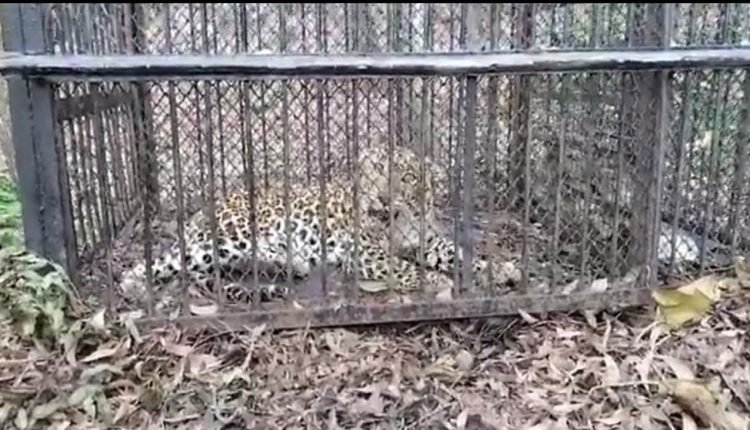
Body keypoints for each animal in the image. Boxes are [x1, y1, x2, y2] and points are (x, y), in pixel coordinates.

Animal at [119, 143, 509, 306]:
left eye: (408, 177)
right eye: (373, 172)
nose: (382, 198)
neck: (400, 220)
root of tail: (199, 214)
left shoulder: (426, 241)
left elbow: (459, 254)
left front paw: (500, 268)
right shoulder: (364, 253)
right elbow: (404, 267)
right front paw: (438, 281)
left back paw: (289, 266)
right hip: (233, 235)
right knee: (157, 266)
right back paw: (134, 287)